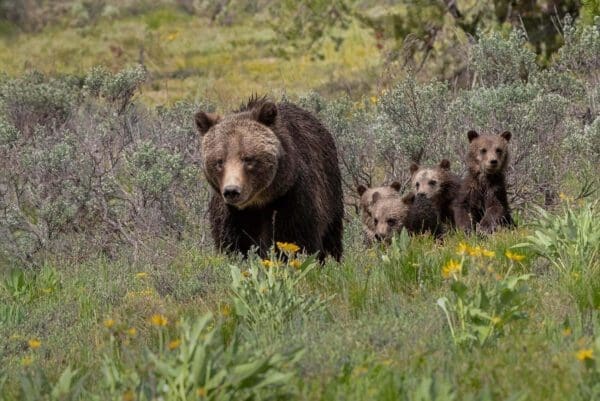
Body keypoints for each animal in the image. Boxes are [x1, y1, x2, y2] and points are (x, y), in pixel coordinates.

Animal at [196, 95, 342, 260]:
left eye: (248, 158)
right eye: (219, 161)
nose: (232, 191)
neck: (259, 203)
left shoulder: (291, 199)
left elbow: (295, 240)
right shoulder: (231, 214)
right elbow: (232, 244)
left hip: (331, 190)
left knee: (331, 236)